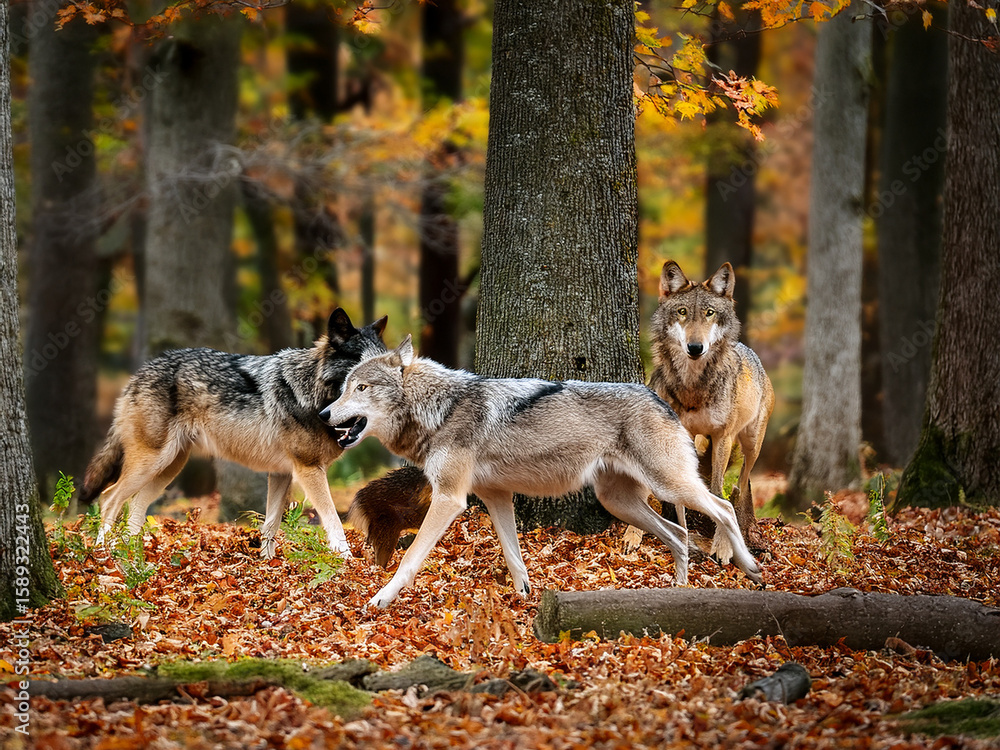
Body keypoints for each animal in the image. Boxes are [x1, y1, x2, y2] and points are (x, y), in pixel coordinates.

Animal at [80, 309, 387, 559]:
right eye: (361, 371)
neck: (313, 393)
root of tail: (138, 374)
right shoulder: (309, 470)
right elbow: (334, 521)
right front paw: (347, 562)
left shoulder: (282, 473)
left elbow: (270, 525)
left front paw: (268, 566)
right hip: (152, 463)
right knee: (109, 498)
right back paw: (104, 555)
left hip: (168, 469)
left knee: (135, 505)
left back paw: (132, 557)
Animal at [320, 336, 763, 608]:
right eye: (343, 388)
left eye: (360, 388)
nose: (323, 415)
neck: (439, 409)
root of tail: (660, 399)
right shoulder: (496, 497)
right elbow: (514, 557)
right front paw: (525, 597)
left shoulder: (450, 499)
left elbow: (410, 557)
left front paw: (381, 598)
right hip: (619, 501)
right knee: (678, 534)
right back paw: (679, 590)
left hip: (668, 486)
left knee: (723, 507)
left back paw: (749, 568)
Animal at [645, 260, 774, 548]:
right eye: (682, 312)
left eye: (709, 313)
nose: (695, 347)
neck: (694, 386)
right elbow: (682, 496)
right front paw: (684, 535)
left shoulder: (723, 437)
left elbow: (717, 491)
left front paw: (721, 543)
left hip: (752, 444)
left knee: (743, 481)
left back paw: (746, 526)